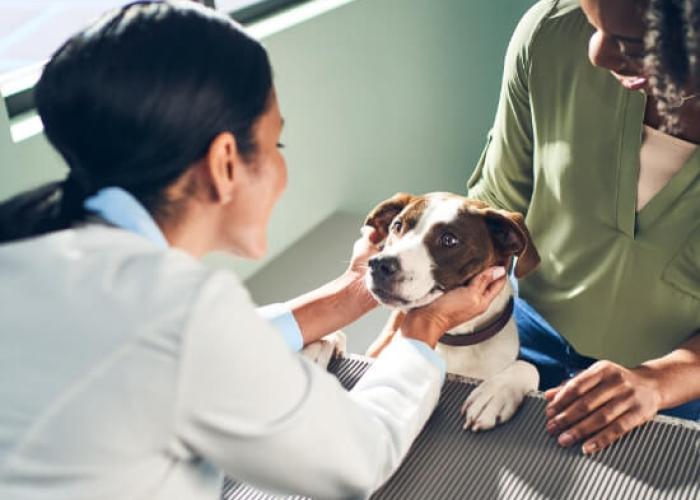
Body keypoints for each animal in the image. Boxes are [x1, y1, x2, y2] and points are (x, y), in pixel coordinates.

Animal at [366, 191, 540, 430]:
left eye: (449, 240)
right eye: (397, 225)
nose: (378, 264)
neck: (458, 341)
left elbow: (528, 366)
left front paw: (495, 394)